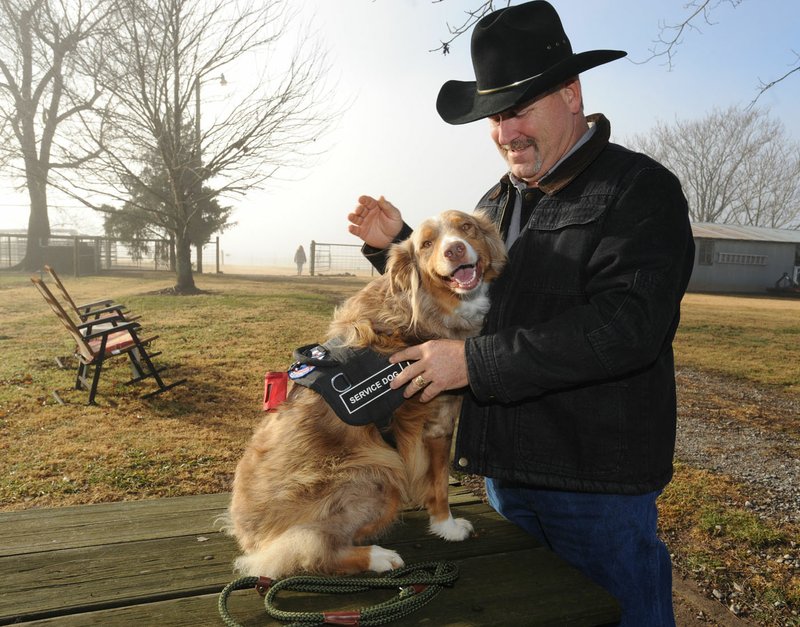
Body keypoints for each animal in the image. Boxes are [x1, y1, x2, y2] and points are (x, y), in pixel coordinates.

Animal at [225, 211, 506, 580]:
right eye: (427, 244)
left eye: (466, 228)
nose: (455, 250)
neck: (423, 307)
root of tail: (250, 539)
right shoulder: (438, 423)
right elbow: (440, 485)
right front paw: (447, 526)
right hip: (379, 473)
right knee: (310, 550)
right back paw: (377, 556)